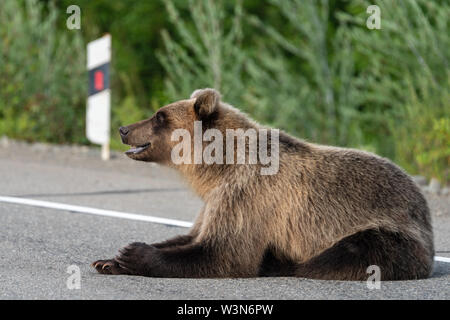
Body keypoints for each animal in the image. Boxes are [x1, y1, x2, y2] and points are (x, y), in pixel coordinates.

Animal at [91, 88, 432, 280]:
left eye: (159, 116)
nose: (123, 129)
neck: (218, 168)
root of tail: (421, 201)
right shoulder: (216, 199)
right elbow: (190, 237)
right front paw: (111, 260)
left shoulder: (248, 195)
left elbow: (223, 254)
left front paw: (134, 253)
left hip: (389, 229)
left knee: (345, 253)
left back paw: (279, 263)